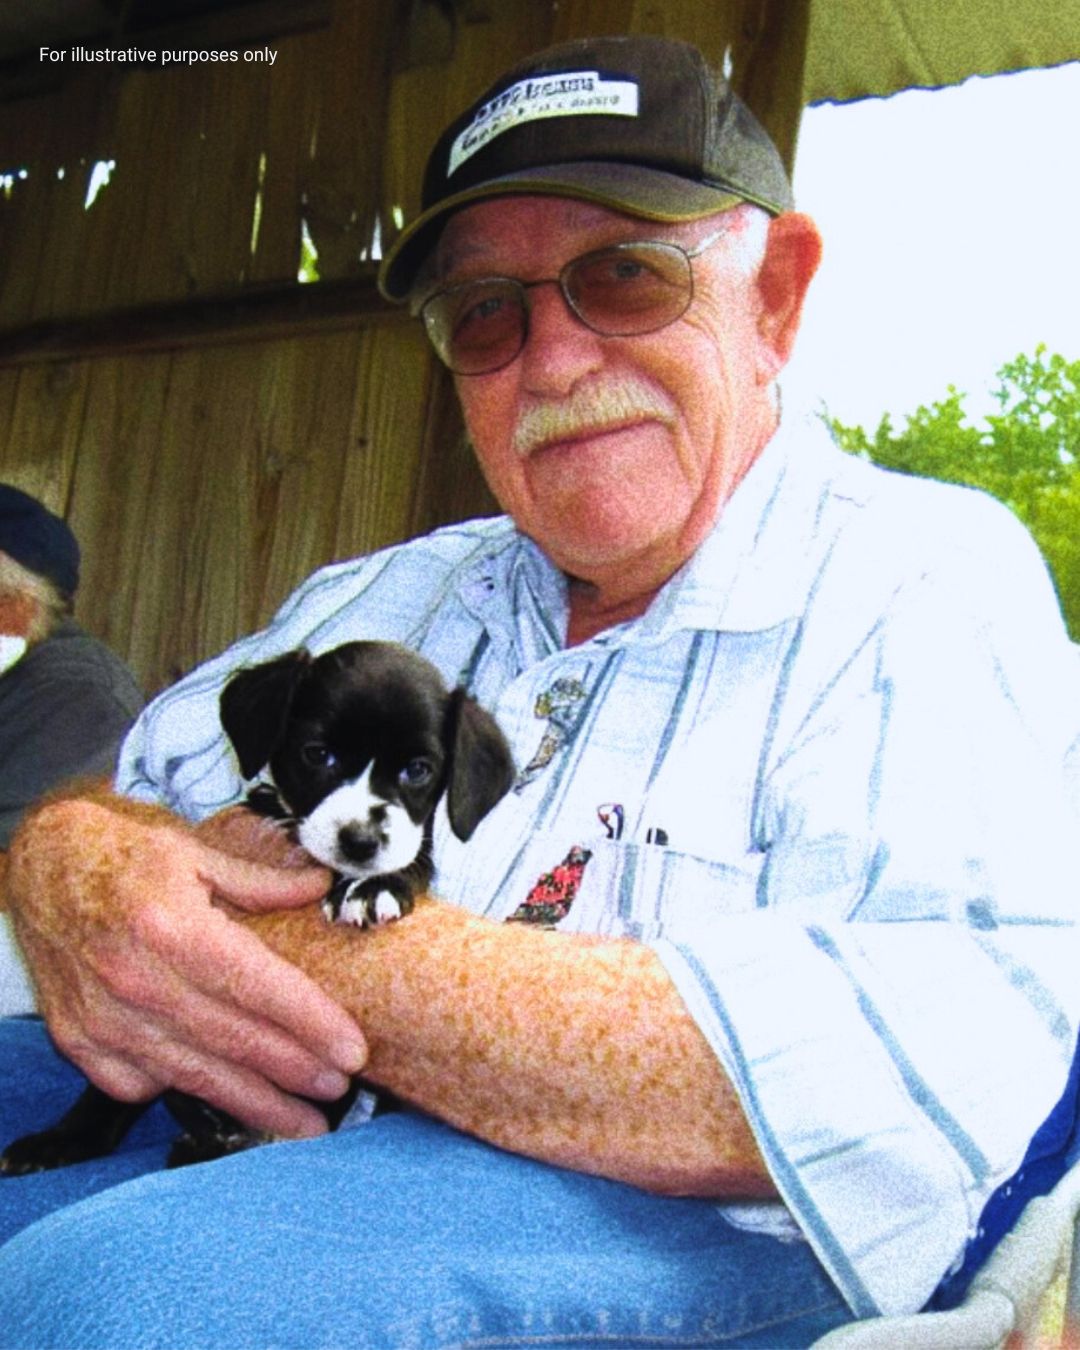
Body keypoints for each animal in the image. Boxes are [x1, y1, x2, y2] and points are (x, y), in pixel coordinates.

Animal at [0, 642, 513, 1171]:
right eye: (318, 754)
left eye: (418, 770)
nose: (360, 841)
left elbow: (413, 859)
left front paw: (374, 886)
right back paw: (74, 1140)